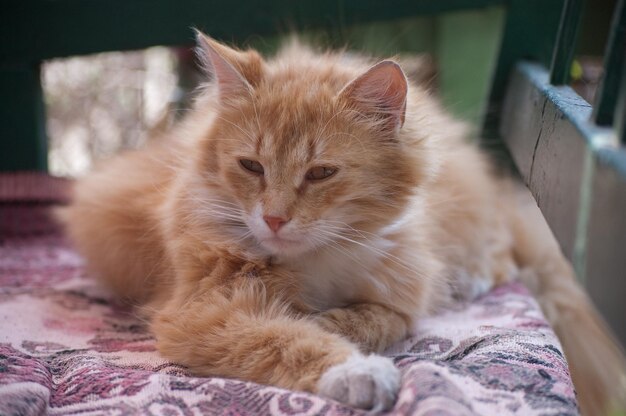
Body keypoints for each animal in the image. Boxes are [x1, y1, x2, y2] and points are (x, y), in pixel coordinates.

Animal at [59, 31, 624, 412]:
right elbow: (281, 339)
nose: (274, 219)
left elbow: (374, 319)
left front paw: (330, 323)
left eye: (321, 173)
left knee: (502, 253)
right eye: (251, 167)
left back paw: (469, 279)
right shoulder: (204, 310)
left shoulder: (400, 294)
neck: (317, 260)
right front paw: (352, 367)